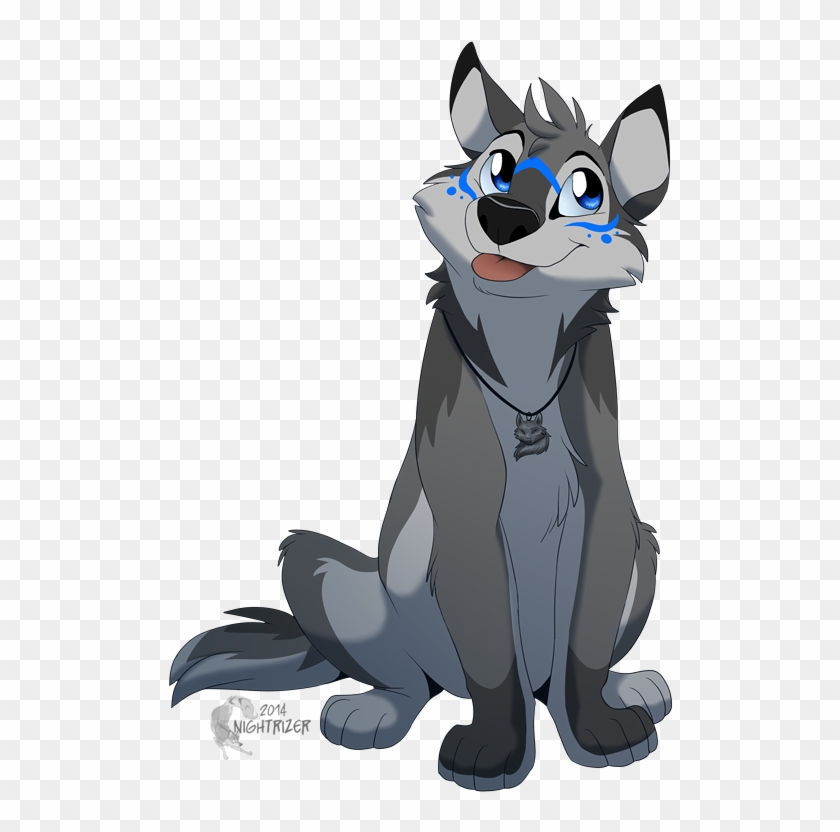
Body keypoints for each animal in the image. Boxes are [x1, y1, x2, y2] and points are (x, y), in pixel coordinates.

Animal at [170, 43, 672, 791]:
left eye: (586, 189)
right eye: (496, 165)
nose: (504, 214)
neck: (522, 351)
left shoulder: (610, 507)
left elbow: (585, 646)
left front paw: (602, 731)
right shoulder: (464, 515)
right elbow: (491, 659)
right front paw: (494, 753)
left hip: (647, 550)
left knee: (562, 677)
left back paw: (627, 684)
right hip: (323, 575)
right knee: (415, 680)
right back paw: (373, 711)